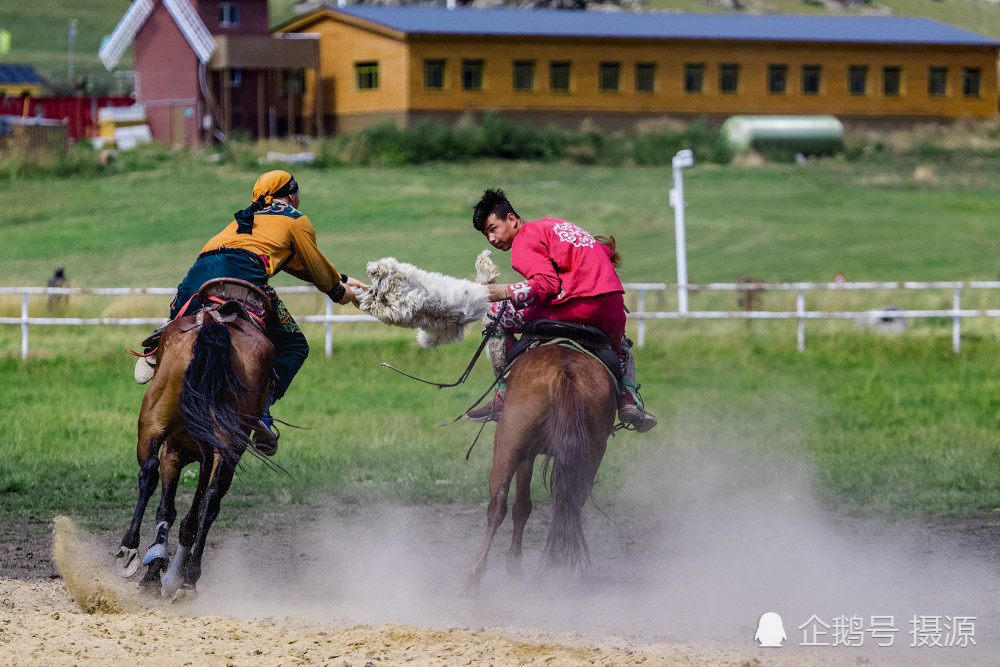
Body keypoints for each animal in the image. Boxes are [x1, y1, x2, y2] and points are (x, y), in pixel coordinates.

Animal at [113, 278, 274, 600]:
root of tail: (214, 324)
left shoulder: (180, 452)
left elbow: (173, 509)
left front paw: (158, 569)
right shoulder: (191, 454)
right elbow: (183, 512)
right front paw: (163, 570)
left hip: (158, 426)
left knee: (150, 473)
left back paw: (133, 550)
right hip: (222, 448)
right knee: (208, 501)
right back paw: (185, 577)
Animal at [466, 334, 620, 596]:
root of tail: (564, 372)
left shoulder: (527, 455)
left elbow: (520, 507)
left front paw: (512, 565)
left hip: (509, 443)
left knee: (497, 504)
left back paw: (476, 572)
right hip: (590, 454)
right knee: (568, 508)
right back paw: (548, 574)